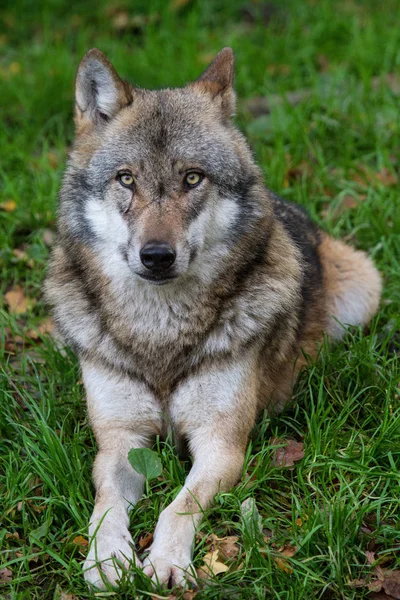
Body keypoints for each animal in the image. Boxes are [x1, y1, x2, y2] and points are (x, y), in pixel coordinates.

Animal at [44, 48, 382, 592]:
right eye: (126, 178)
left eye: (192, 178)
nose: (157, 255)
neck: (159, 333)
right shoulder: (118, 443)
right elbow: (106, 505)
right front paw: (105, 558)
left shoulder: (221, 445)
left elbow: (177, 506)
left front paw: (164, 561)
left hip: (365, 289)